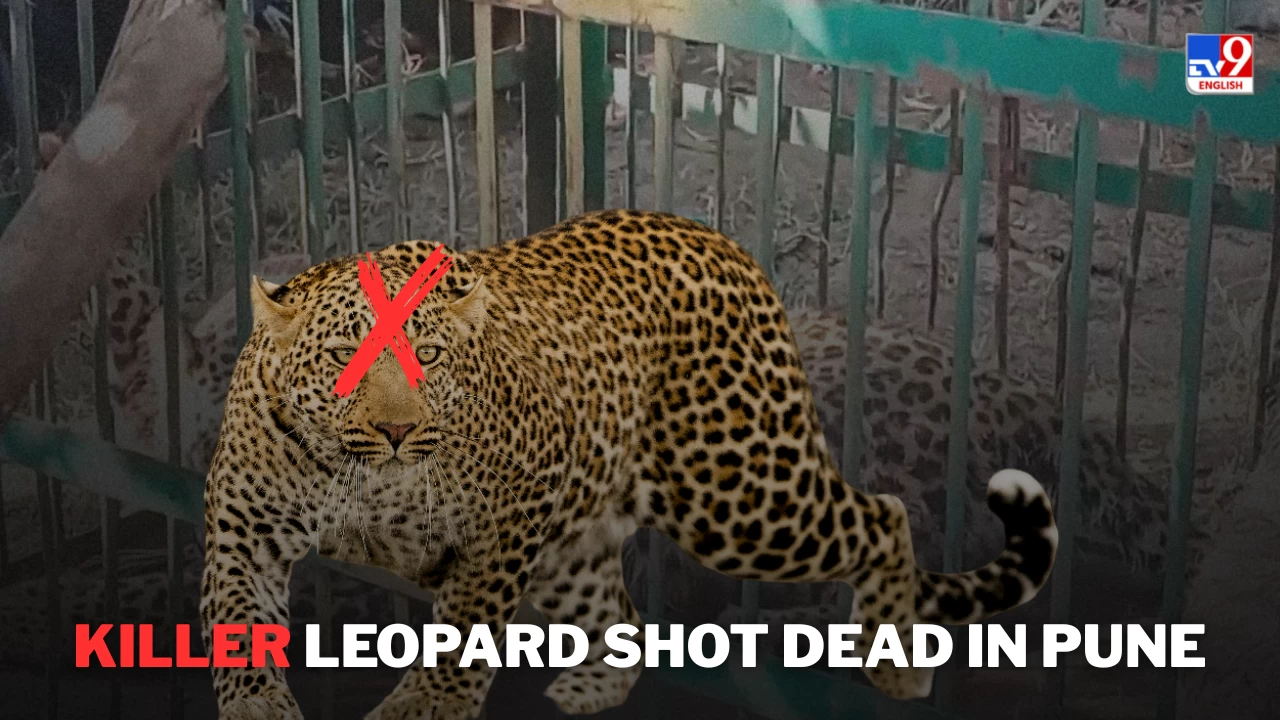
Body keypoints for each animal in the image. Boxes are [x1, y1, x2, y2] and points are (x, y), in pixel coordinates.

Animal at [200, 208, 1058, 719]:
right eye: (344, 358)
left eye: (431, 358)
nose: (397, 432)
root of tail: (718, 240)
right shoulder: (242, 529)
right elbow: (238, 623)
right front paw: (258, 708)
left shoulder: (511, 507)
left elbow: (463, 626)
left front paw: (424, 707)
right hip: (577, 542)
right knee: (626, 621)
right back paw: (585, 689)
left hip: (741, 496)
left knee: (882, 517)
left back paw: (896, 666)